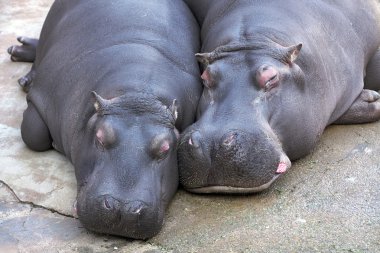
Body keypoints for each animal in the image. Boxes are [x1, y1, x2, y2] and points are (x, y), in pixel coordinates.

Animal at [7, 0, 202, 239]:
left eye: (165, 148)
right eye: (100, 136)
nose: (123, 210)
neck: (138, 96)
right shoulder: (44, 96)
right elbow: (34, 135)